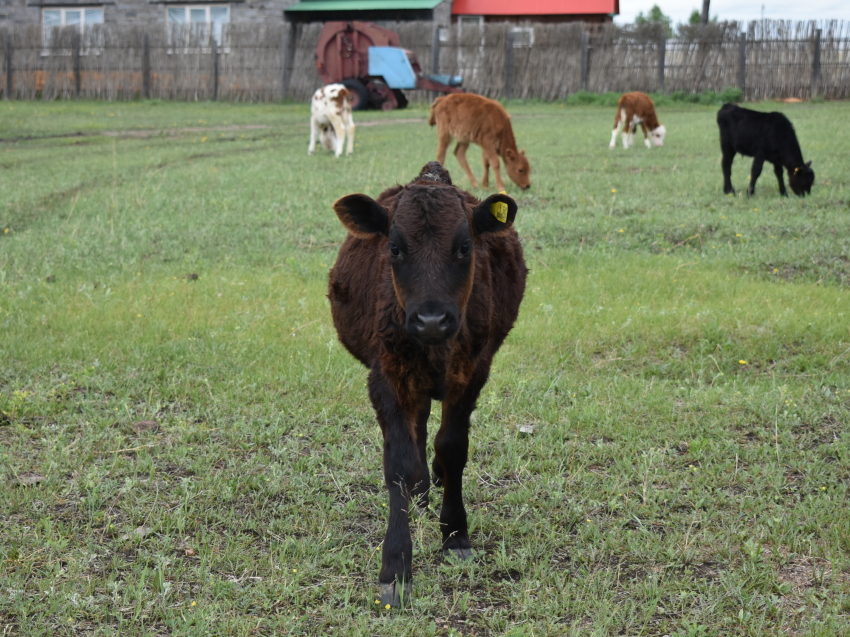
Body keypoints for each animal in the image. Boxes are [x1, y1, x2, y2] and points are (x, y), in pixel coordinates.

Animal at [328, 160, 528, 608]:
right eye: (395, 249)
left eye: (465, 247)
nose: (432, 320)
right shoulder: (386, 378)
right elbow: (399, 465)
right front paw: (396, 566)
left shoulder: (471, 374)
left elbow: (453, 449)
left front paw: (455, 534)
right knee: (417, 429)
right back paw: (421, 489)